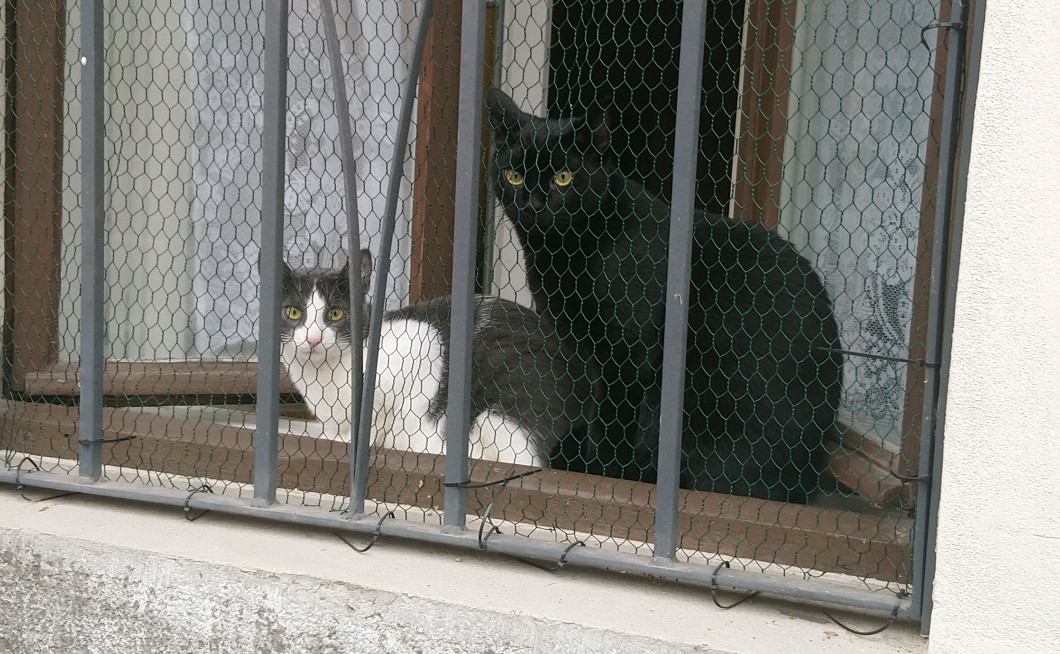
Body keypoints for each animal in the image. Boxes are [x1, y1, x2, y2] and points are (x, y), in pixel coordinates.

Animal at [278, 251, 593, 467]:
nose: (313, 339)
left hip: (505, 396)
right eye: (294, 313)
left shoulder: (419, 343)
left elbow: (380, 415)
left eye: (335, 314)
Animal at [485, 88, 843, 503]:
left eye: (563, 178)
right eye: (514, 176)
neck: (564, 253)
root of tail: (807, 478)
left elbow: (612, 420)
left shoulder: (626, 354)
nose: (534, 205)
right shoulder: (584, 349)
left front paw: (602, 474)